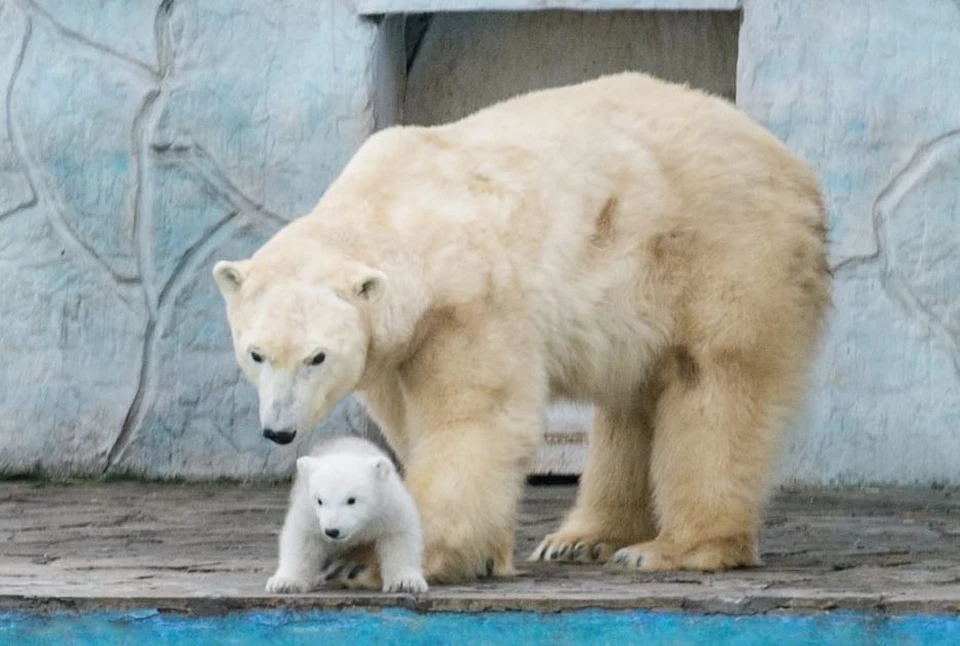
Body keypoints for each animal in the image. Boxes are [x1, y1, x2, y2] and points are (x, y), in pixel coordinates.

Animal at [214, 72, 828, 588]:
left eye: (316, 357)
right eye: (256, 354)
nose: (278, 431)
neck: (404, 210)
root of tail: (794, 168)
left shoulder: (474, 299)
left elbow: (475, 419)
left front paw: (363, 563)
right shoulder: (393, 345)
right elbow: (410, 427)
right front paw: (485, 552)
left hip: (722, 251)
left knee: (714, 385)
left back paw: (672, 547)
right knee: (632, 401)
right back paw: (581, 539)